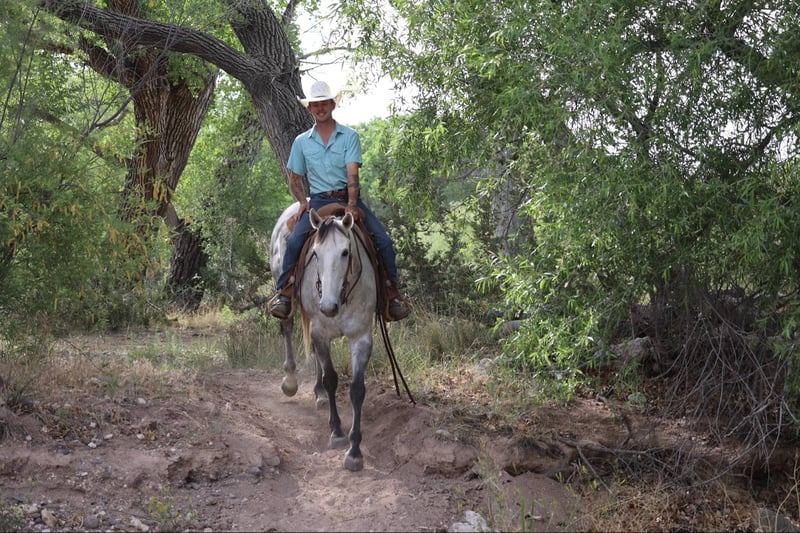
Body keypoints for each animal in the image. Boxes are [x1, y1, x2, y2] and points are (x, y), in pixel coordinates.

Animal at [269, 202, 377, 471]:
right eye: (316, 254)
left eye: (345, 252)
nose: (328, 307)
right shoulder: (320, 330)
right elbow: (331, 380)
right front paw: (337, 432)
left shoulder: (361, 336)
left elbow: (357, 389)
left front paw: (354, 451)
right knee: (287, 327)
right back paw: (290, 381)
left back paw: (318, 394)